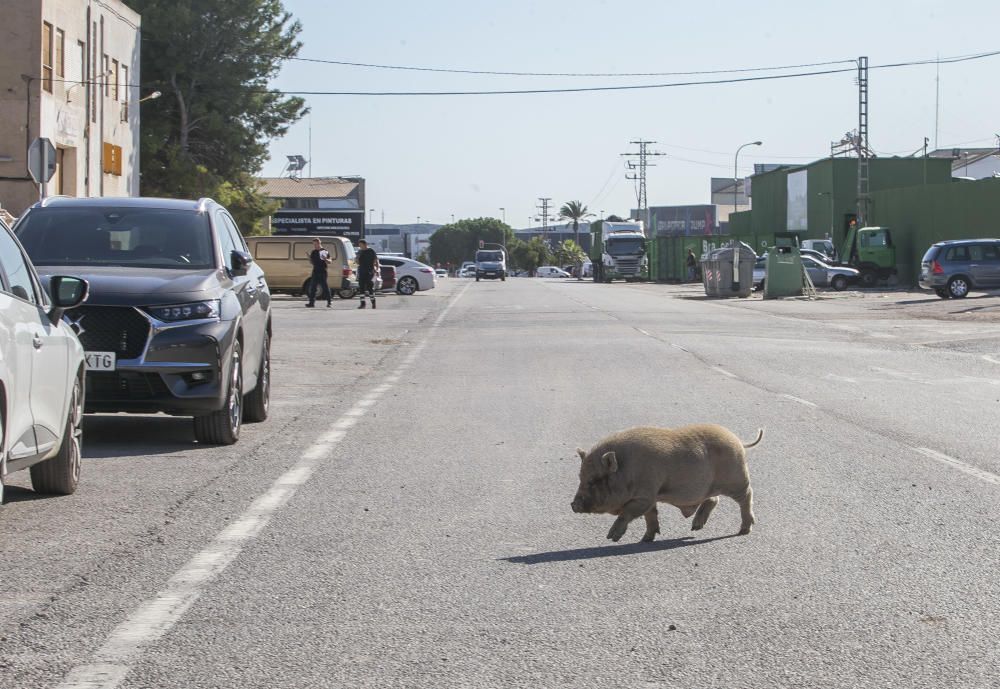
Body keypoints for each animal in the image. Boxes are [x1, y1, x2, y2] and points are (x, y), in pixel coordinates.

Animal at [568, 422, 760, 540]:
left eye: (594, 480)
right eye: (580, 478)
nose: (573, 504)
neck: (627, 469)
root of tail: (738, 440)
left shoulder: (645, 496)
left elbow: (629, 513)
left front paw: (611, 538)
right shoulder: (651, 497)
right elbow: (650, 516)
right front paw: (646, 540)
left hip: (737, 479)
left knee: (747, 496)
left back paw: (744, 531)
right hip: (710, 487)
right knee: (714, 499)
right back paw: (695, 528)